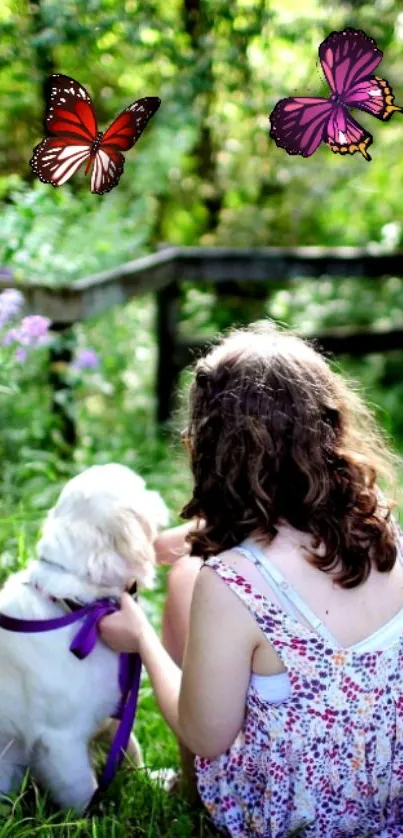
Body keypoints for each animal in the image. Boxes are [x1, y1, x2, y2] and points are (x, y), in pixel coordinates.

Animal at [0, 466, 169, 812]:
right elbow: (81, 790)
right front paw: (92, 816)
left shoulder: (114, 709)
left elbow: (130, 750)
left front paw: (153, 781)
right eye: (141, 488)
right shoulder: (61, 740)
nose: (158, 494)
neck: (79, 608)